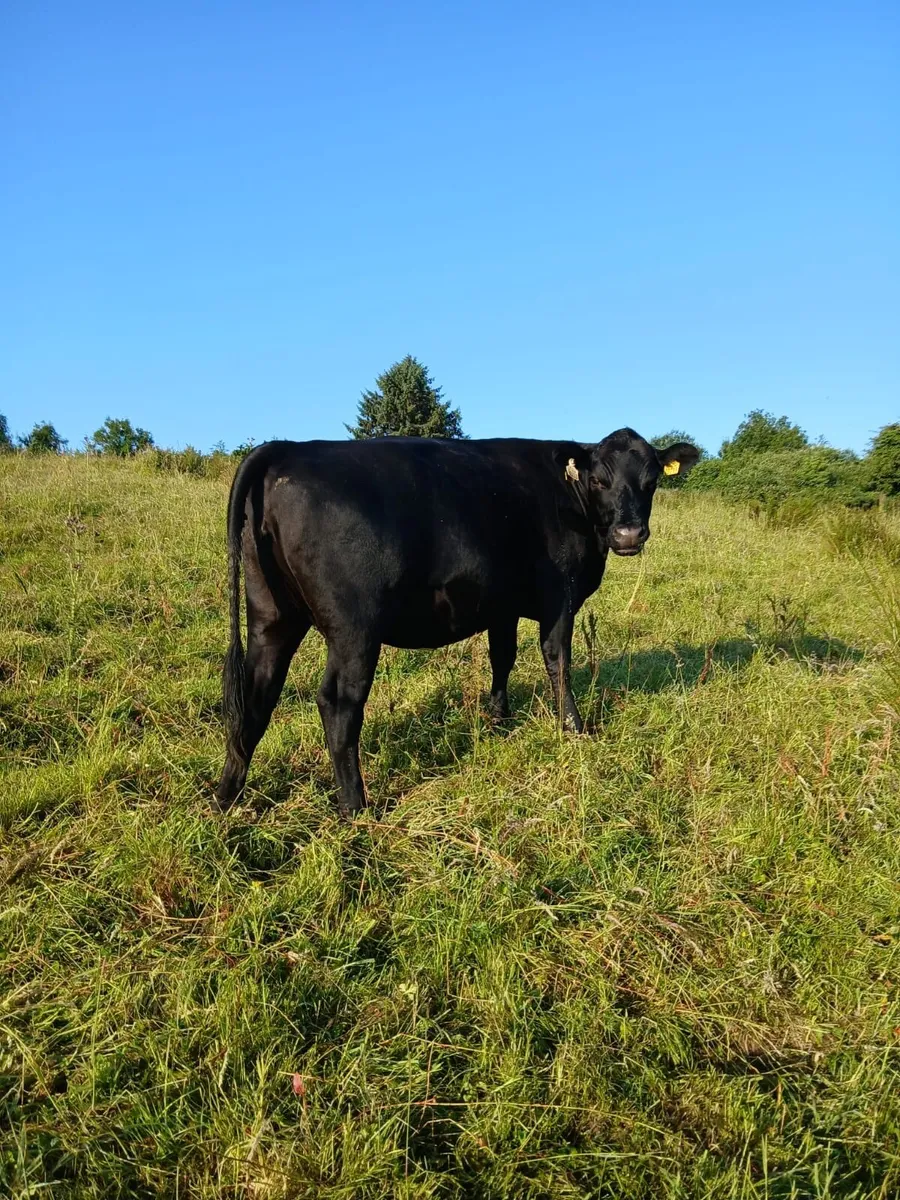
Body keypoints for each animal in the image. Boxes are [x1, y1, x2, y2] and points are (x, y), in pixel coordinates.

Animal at [214, 428, 699, 816]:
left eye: (652, 482)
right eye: (598, 480)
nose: (629, 534)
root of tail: (287, 448)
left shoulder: (502, 604)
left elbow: (502, 657)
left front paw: (499, 721)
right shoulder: (560, 597)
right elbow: (557, 660)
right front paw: (575, 729)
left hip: (272, 615)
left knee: (254, 697)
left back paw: (225, 798)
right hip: (354, 630)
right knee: (338, 703)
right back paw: (355, 807)